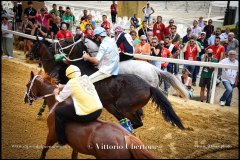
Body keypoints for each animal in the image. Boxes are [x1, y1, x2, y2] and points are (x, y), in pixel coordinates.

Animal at [23, 71, 157, 159]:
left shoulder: (51, 135)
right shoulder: (75, 145)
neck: (58, 103)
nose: (25, 99)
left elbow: (44, 150)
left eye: (27, 84)